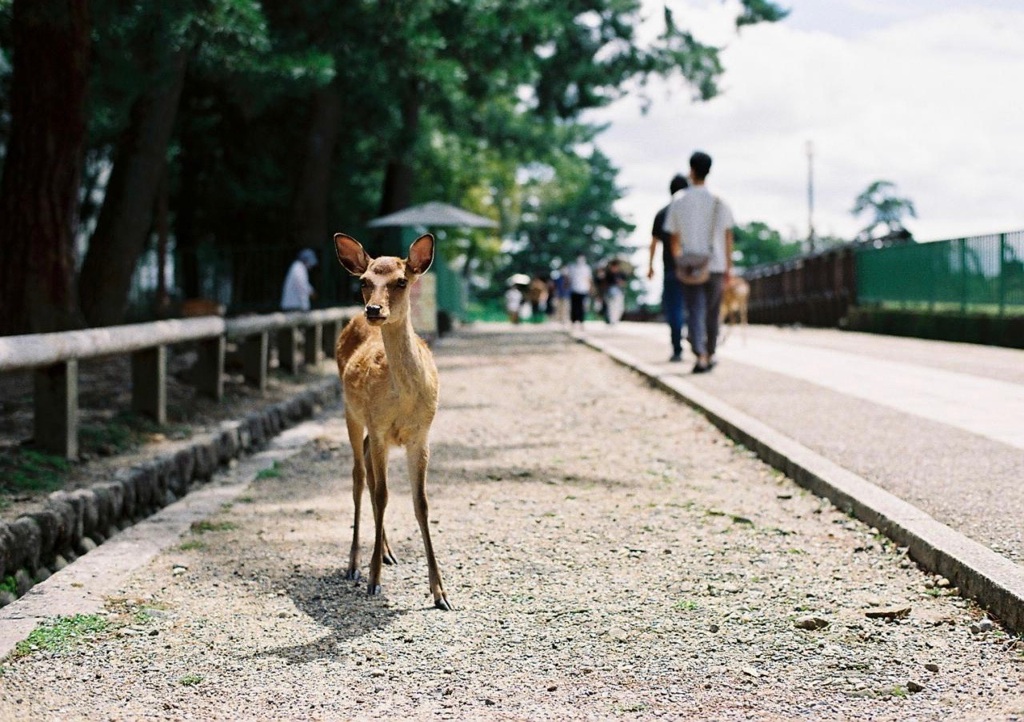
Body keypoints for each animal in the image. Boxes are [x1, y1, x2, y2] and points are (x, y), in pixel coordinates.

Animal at [331, 231, 452, 606]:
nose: (374, 310)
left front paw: (440, 592)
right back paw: (355, 564)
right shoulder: (379, 425)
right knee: (359, 476)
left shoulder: (421, 434)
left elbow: (421, 503)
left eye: (402, 280)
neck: (406, 401)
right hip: (351, 412)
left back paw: (386, 551)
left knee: (368, 471)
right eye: (364, 282)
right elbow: (384, 495)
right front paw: (373, 580)